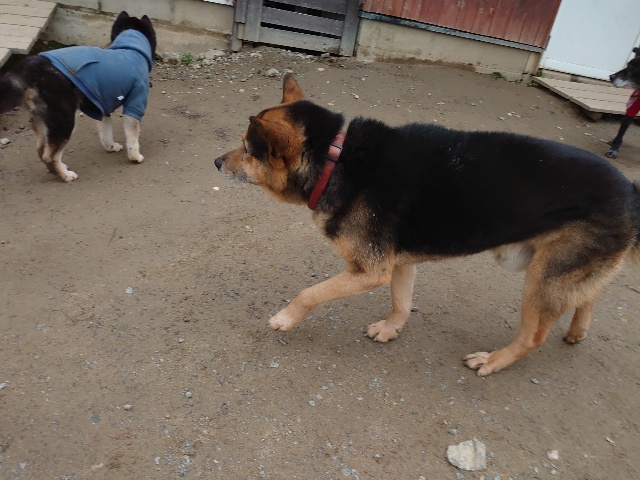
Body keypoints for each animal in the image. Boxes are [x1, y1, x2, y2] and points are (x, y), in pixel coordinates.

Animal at [0, 11, 156, 182]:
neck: (129, 48)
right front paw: (135, 157)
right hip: (65, 121)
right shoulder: (134, 103)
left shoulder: (103, 106)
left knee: (41, 150)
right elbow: (132, 136)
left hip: (43, 120)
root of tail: (26, 68)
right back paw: (65, 175)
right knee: (50, 155)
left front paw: (111, 146)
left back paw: (56, 170)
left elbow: (106, 132)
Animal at [215, 74, 640, 376]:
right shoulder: (399, 262)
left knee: (535, 335)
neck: (336, 160)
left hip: (543, 277)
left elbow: (309, 293)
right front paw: (391, 329)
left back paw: (493, 360)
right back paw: (577, 330)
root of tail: (631, 192)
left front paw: (285, 318)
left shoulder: (370, 269)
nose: (216, 162)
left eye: (247, 150)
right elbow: (401, 302)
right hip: (558, 267)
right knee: (589, 294)